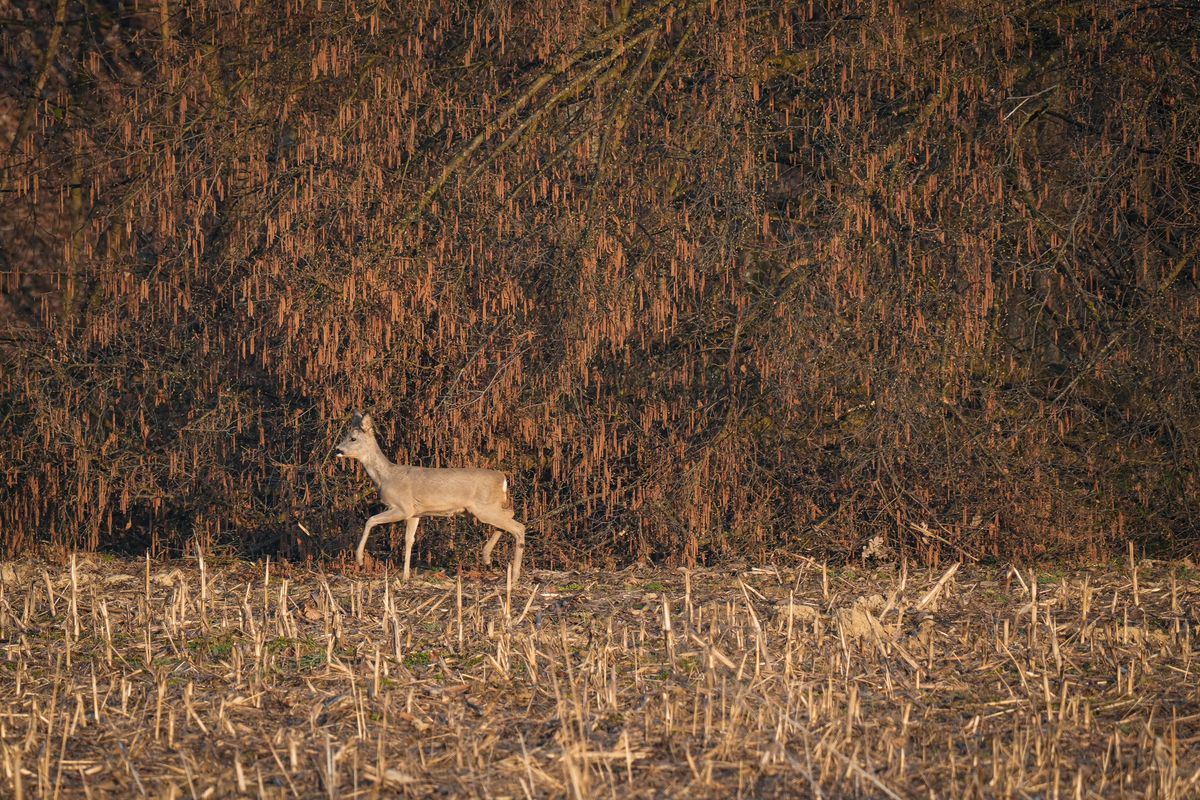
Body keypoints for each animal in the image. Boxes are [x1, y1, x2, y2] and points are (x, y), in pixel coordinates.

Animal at [334, 412, 526, 581]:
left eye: (353, 438)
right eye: (345, 435)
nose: (337, 449)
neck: (386, 477)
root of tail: (503, 479)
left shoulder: (403, 507)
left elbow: (370, 520)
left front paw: (359, 559)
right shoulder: (415, 513)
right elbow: (409, 540)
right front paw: (405, 575)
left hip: (484, 507)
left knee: (519, 527)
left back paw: (514, 576)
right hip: (487, 507)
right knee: (510, 515)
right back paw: (487, 557)